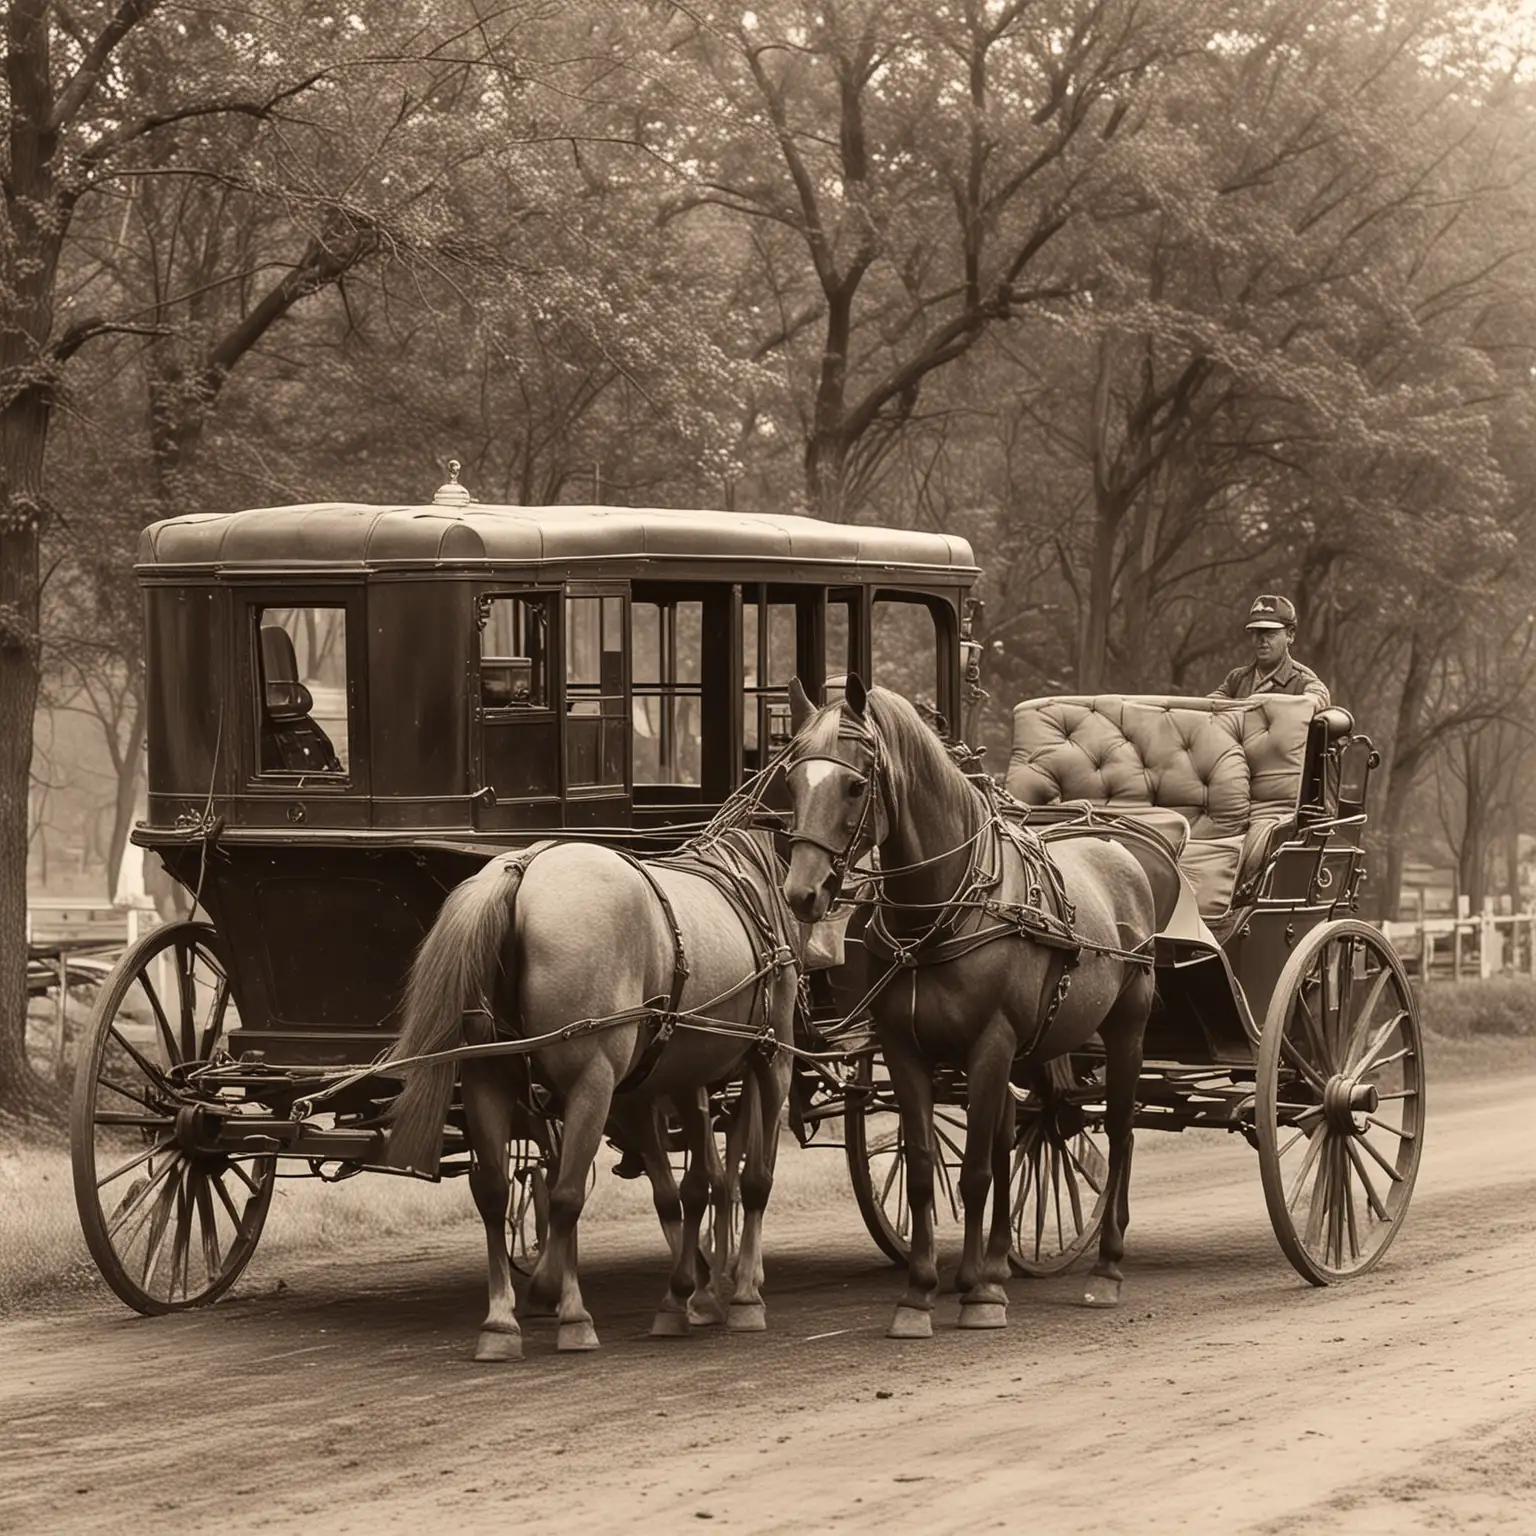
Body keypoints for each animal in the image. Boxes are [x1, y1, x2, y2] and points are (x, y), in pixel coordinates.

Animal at [387, 829, 804, 1357]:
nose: (812, 895)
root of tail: (521, 870)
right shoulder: (772, 1057)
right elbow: (750, 1180)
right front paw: (735, 1291)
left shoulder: (665, 1080)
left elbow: (692, 1186)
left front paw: (694, 1290)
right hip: (594, 1078)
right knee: (566, 1193)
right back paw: (566, 1306)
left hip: (488, 1081)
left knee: (495, 1193)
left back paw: (502, 1321)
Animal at [786, 678, 1155, 1339]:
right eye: (791, 782)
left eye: (854, 785)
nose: (802, 894)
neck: (939, 912)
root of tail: (1115, 845)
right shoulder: (905, 1051)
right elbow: (925, 1166)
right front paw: (922, 1292)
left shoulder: (990, 1044)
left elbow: (977, 1169)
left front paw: (977, 1293)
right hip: (1036, 1047)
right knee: (1029, 1127)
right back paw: (1002, 1260)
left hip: (1125, 1030)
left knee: (1118, 1131)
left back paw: (1106, 1267)